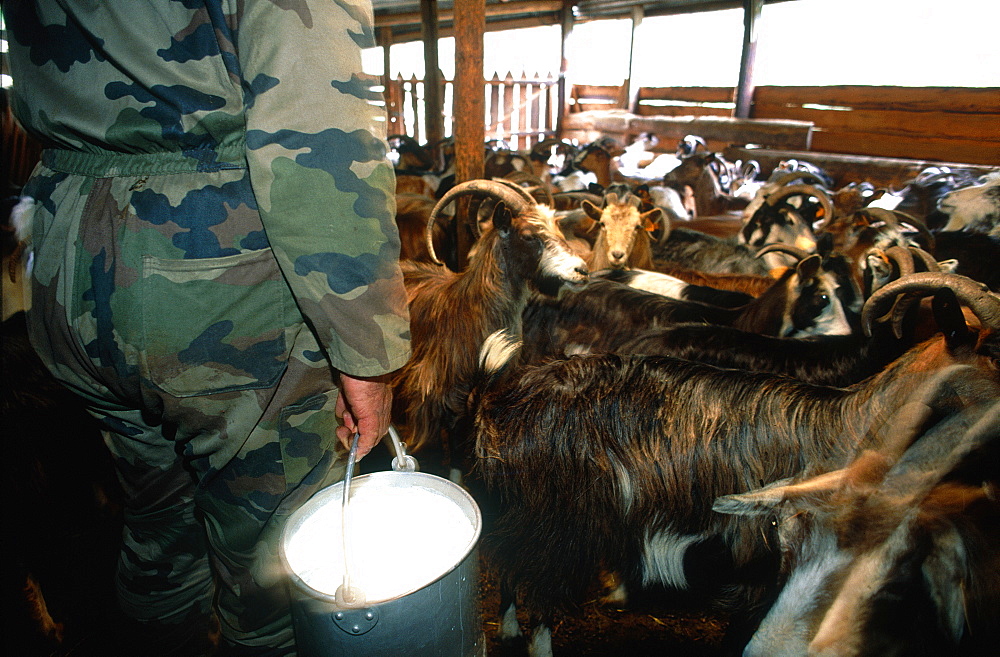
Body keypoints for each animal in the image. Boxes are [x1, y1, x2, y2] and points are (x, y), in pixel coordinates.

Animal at [464, 272, 1000, 656]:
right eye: (995, 353)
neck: (854, 423)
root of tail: (499, 396)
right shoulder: (769, 564)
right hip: (558, 523)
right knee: (539, 596)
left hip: (517, 508)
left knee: (507, 565)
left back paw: (507, 629)